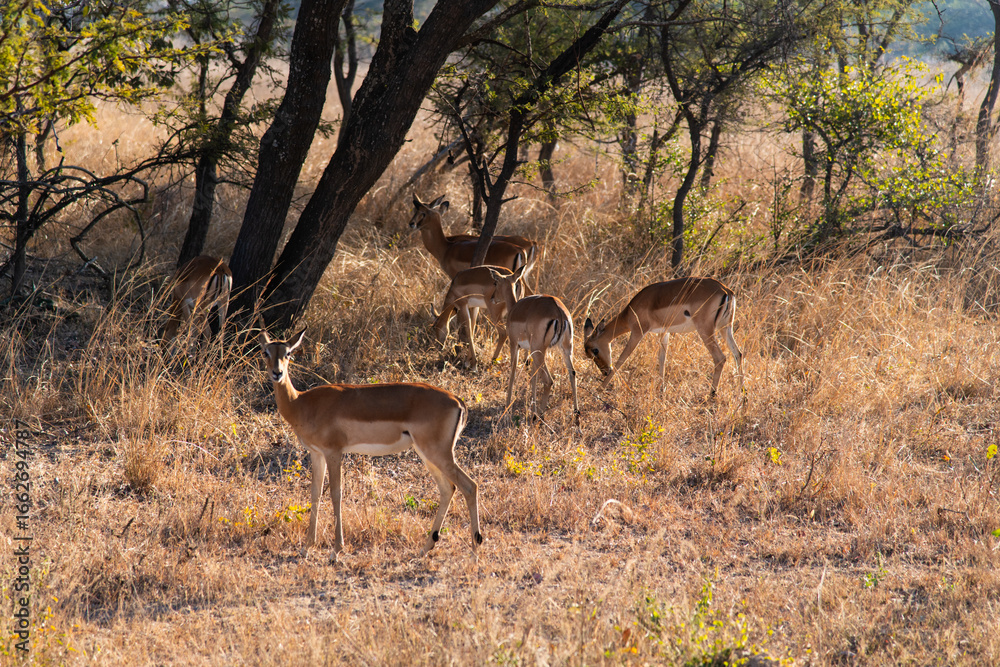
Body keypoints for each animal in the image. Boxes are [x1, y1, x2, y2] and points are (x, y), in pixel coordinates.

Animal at [260, 326, 482, 560]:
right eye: (265, 352)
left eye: (288, 353)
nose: (277, 373)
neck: (300, 403)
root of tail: (457, 401)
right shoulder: (316, 453)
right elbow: (315, 494)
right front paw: (306, 547)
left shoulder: (333, 452)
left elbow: (336, 494)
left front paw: (336, 550)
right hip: (427, 455)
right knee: (448, 489)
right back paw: (425, 547)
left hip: (438, 454)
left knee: (470, 486)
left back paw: (475, 548)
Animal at [489, 266, 579, 417]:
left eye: (496, 283)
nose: (492, 298)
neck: (513, 309)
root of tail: (558, 311)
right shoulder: (530, 352)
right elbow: (533, 377)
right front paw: (532, 404)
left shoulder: (514, 345)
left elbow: (513, 373)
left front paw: (507, 406)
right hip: (565, 349)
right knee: (572, 373)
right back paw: (576, 414)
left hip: (539, 351)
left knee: (549, 381)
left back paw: (538, 416)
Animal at [582, 277, 745, 399]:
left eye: (595, 350)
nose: (604, 371)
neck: (631, 311)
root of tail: (725, 291)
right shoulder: (663, 332)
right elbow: (662, 359)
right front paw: (661, 390)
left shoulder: (638, 332)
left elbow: (621, 359)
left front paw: (599, 389)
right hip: (726, 328)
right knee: (738, 353)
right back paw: (742, 394)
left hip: (706, 330)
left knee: (720, 358)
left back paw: (712, 395)